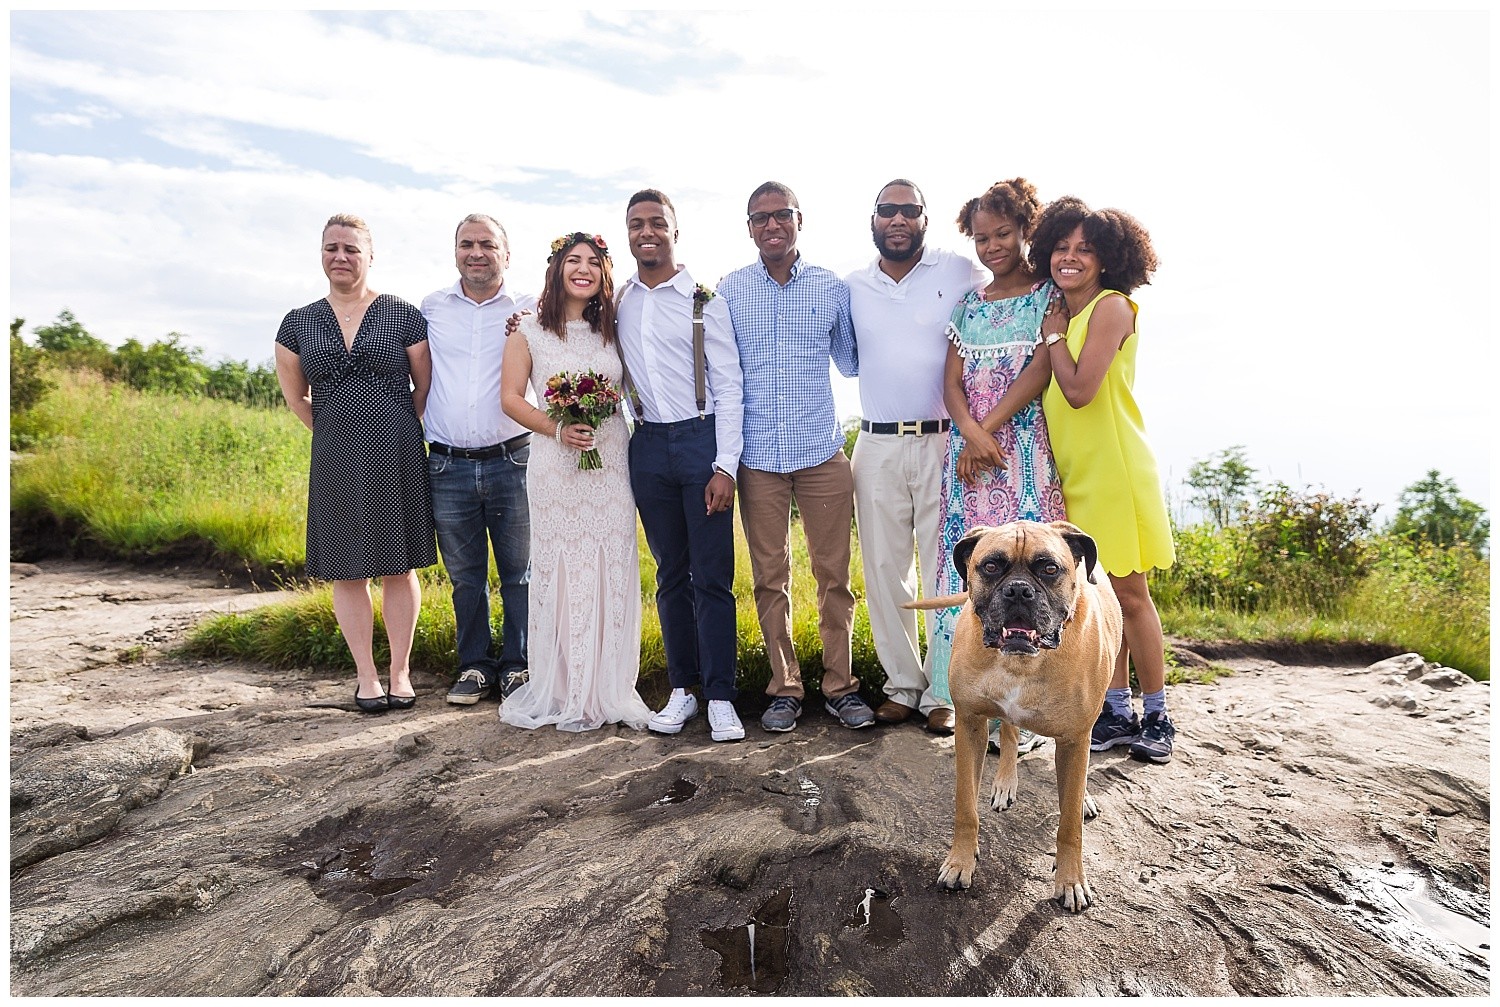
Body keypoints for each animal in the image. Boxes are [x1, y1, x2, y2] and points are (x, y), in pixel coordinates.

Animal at [900, 525, 1128, 912]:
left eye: (1049, 569)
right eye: (991, 566)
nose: (1019, 589)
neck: (1023, 662)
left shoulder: (1074, 738)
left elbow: (1069, 824)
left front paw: (1070, 880)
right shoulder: (969, 725)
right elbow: (965, 807)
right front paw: (960, 861)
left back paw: (1081, 798)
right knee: (1008, 734)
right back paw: (1005, 783)